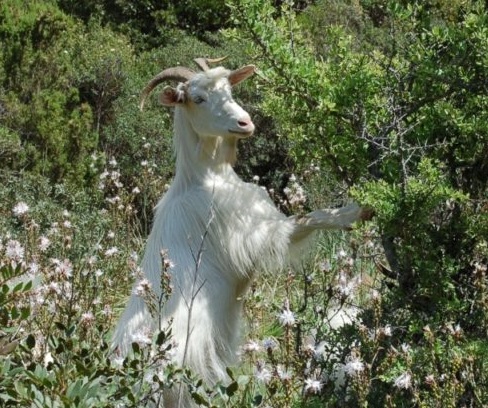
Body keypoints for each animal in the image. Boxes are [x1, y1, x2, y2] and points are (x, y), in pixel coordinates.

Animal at [113, 57, 366, 404]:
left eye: (229, 90)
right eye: (198, 98)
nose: (245, 122)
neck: (205, 179)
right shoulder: (251, 236)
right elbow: (305, 220)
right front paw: (355, 210)